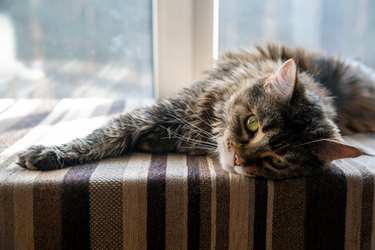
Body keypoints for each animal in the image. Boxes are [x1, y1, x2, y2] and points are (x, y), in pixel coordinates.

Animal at [16, 44, 375, 179]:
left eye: (275, 161)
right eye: (252, 123)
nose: (239, 159)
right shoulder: (155, 115)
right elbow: (100, 137)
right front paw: (49, 152)